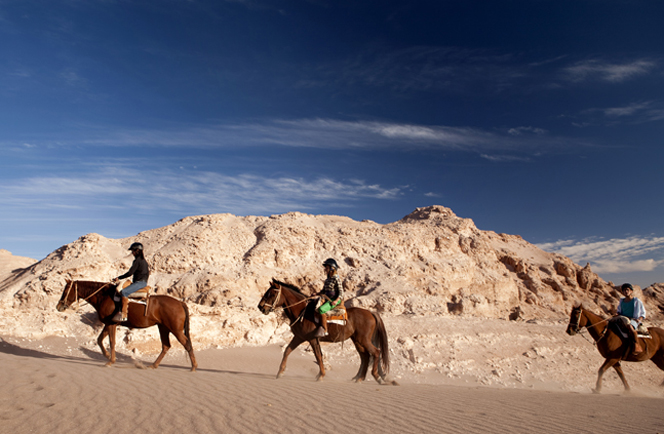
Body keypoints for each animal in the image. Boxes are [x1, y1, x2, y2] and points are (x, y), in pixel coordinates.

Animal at [56, 280, 197, 372]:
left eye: (66, 290)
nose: (59, 306)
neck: (104, 297)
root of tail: (180, 303)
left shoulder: (111, 324)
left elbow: (111, 342)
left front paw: (110, 361)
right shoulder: (109, 323)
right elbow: (100, 340)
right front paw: (107, 356)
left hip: (175, 329)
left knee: (186, 344)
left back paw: (193, 367)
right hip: (163, 328)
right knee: (166, 346)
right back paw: (153, 365)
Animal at [256, 280, 396, 384]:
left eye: (271, 294)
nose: (260, 307)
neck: (303, 312)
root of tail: (370, 313)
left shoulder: (311, 339)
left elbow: (318, 356)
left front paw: (321, 375)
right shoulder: (299, 337)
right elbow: (287, 351)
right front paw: (280, 373)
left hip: (364, 339)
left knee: (375, 352)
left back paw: (377, 377)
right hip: (357, 340)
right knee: (365, 356)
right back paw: (359, 378)